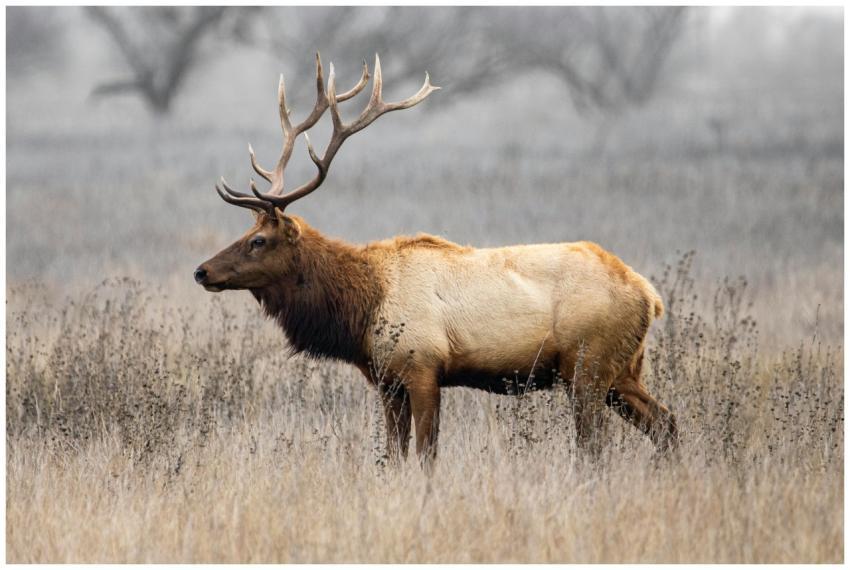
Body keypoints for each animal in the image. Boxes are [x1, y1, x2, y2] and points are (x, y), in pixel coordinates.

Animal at [195, 54, 678, 466]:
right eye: (245, 233)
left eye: (258, 240)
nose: (202, 271)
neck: (362, 310)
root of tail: (649, 296)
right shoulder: (387, 381)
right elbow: (393, 457)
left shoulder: (423, 366)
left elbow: (426, 455)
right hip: (622, 370)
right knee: (666, 423)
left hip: (588, 365)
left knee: (595, 446)